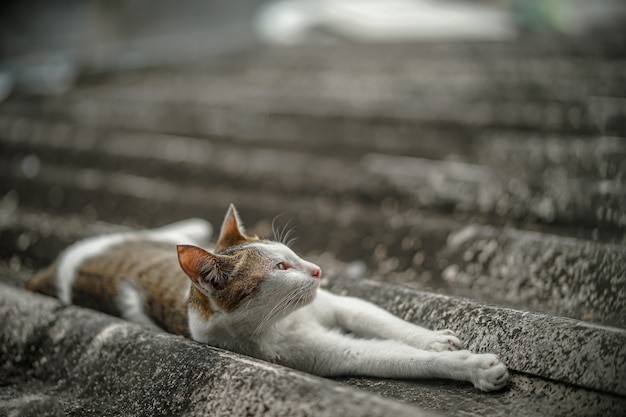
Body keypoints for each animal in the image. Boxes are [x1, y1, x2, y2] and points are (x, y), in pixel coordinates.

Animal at [26, 203, 510, 392]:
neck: (281, 317)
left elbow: (384, 320)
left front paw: (435, 339)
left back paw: (191, 224)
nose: (317, 270)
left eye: (292, 255)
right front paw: (473, 367)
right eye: (279, 269)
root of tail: (59, 268)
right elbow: (395, 355)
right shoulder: (327, 353)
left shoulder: (339, 304)